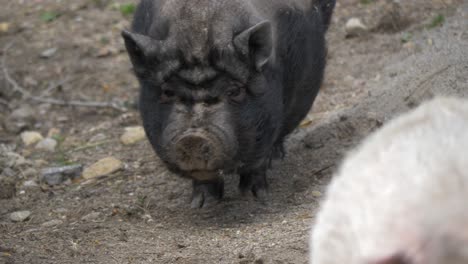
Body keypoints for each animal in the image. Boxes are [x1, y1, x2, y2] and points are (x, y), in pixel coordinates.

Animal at [122, 0, 334, 207]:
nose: (193, 138)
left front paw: (255, 197)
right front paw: (202, 204)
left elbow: (260, 157)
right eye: (167, 92)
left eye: (234, 91)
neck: (200, 27)